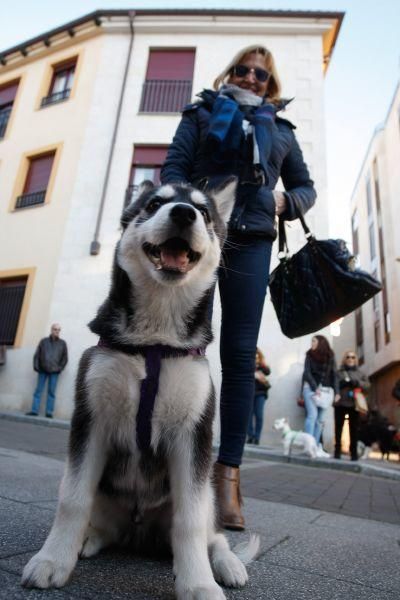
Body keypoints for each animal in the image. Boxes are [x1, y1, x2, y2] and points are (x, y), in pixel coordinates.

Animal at [21, 179, 260, 600]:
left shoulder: (194, 433)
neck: (155, 342)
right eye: (153, 204)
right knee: (102, 522)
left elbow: (190, 521)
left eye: (204, 211)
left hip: (208, 489)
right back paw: (88, 540)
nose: (183, 213)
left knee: (212, 533)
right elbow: (72, 499)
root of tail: (139, 534)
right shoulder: (90, 419)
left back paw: (226, 563)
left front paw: (199, 583)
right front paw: (52, 560)